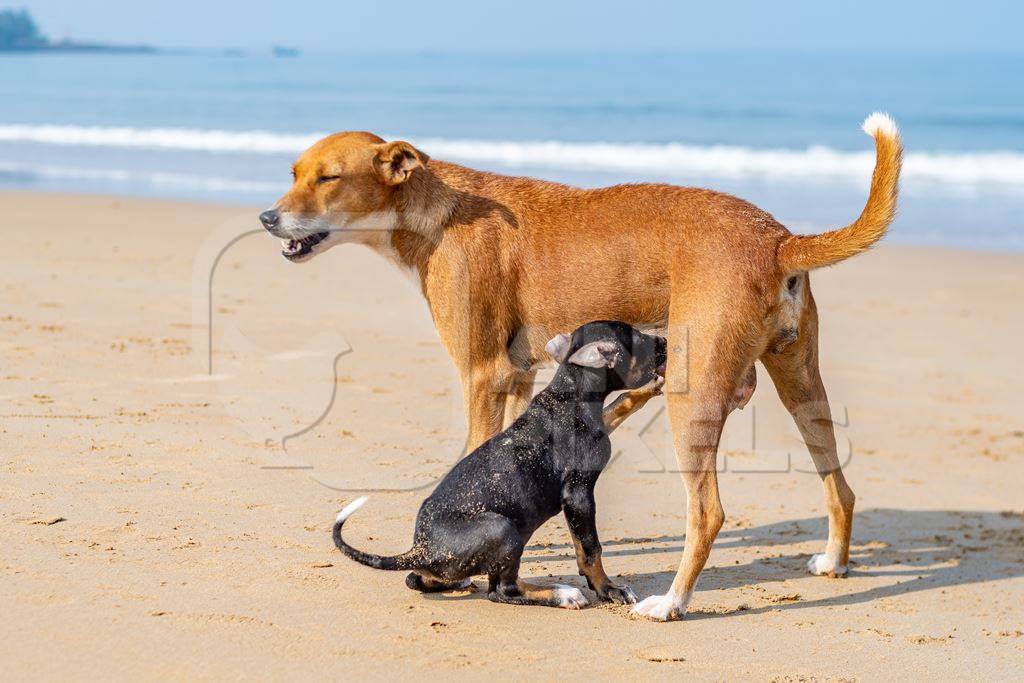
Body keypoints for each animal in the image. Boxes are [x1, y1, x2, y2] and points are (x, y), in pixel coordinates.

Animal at [331, 321, 667, 610]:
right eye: (639, 339)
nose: (665, 341)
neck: (569, 395)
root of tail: (420, 550)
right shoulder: (578, 495)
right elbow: (591, 549)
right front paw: (608, 589)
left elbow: (619, 405)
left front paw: (650, 388)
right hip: (503, 528)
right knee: (503, 591)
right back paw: (561, 594)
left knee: (422, 580)